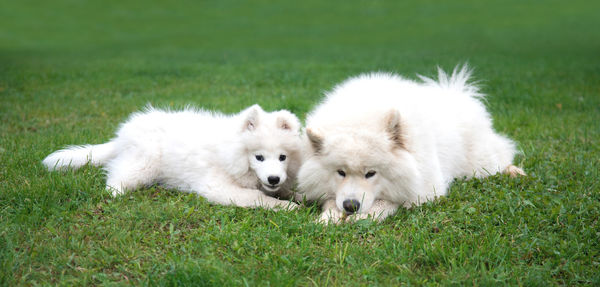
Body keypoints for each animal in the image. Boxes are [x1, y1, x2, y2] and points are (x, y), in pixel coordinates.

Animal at [42, 104, 302, 210]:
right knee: (115, 178)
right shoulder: (217, 187)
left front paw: (296, 196)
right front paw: (286, 207)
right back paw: (117, 194)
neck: (232, 152)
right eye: (258, 157)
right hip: (143, 164)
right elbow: (256, 197)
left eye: (282, 157)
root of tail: (121, 137)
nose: (273, 179)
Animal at [298, 66, 524, 224]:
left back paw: (514, 171)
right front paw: (330, 217)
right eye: (340, 172)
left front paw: (361, 217)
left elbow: (387, 202)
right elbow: (329, 200)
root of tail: (457, 93)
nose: (351, 206)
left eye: (371, 173)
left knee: (501, 157)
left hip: (479, 164)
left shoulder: (424, 188)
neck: (359, 117)